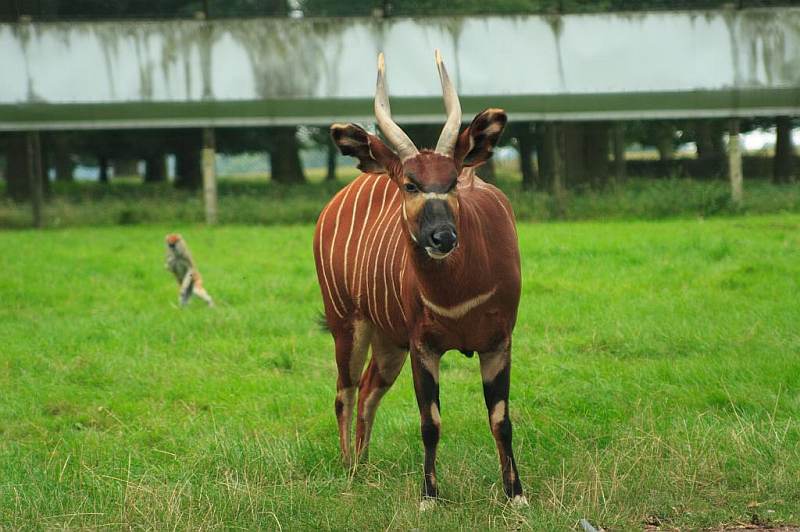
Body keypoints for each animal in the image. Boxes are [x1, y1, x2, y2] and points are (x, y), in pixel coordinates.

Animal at [316, 50, 528, 508]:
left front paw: (516, 494)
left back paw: (363, 463)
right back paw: (349, 469)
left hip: (388, 342)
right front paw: (429, 496)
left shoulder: (498, 341)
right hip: (348, 325)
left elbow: (501, 419)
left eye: (452, 182)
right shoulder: (423, 345)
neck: (459, 294)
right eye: (410, 184)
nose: (442, 237)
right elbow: (430, 422)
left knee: (368, 389)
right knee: (345, 390)